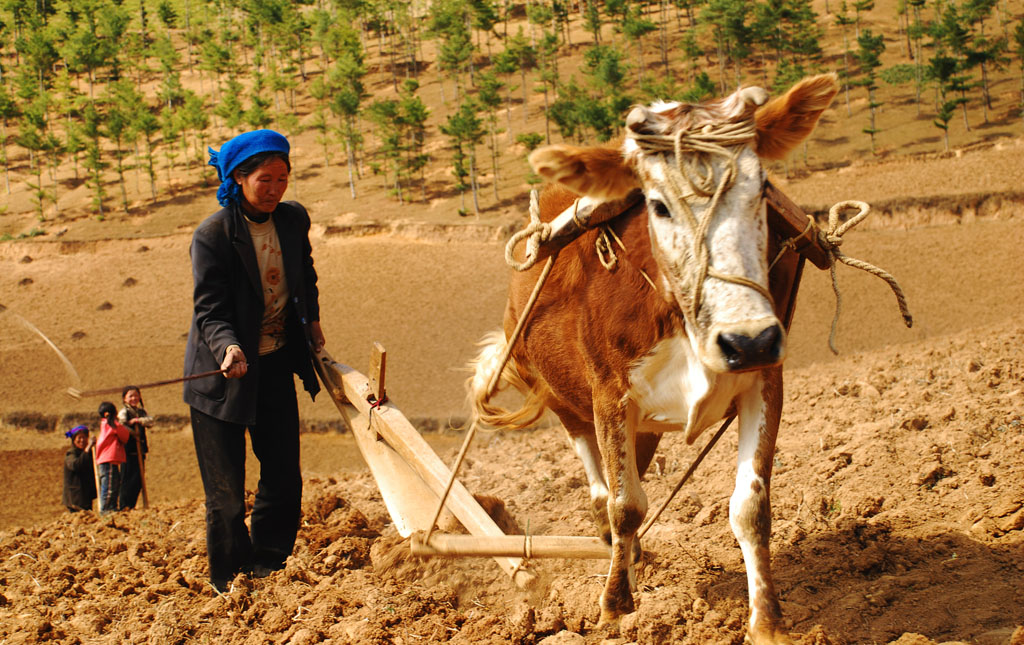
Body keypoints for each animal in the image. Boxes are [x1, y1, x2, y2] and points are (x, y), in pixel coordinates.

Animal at [468, 74, 835, 642]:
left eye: (761, 190)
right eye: (658, 205)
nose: (747, 340)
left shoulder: (764, 381)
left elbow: (751, 506)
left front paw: (767, 623)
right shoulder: (609, 398)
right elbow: (624, 505)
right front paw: (615, 608)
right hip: (567, 405)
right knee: (602, 495)